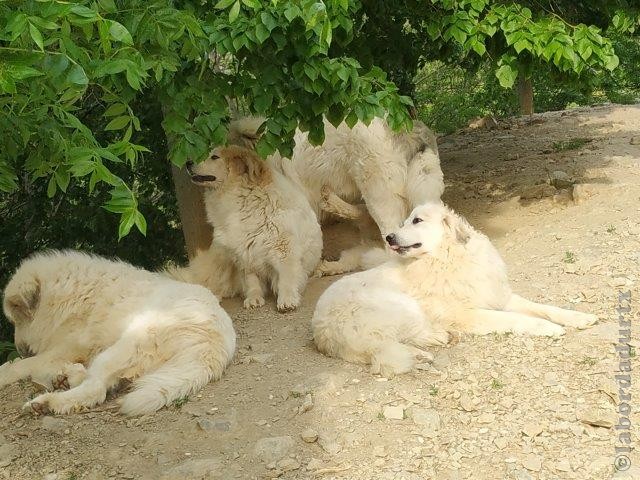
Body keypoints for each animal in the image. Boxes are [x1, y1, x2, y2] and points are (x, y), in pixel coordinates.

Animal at [0, 251, 235, 416]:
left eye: (16, 320)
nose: (21, 349)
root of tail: (215, 343)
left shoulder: (64, 349)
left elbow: (19, 367)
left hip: (123, 347)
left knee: (95, 389)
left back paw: (46, 402)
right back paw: (66, 377)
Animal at [184, 144, 324, 314]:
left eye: (215, 157)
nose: (188, 162)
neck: (243, 200)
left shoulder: (284, 251)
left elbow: (286, 278)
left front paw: (287, 300)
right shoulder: (244, 254)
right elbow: (251, 280)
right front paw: (254, 298)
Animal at [312, 201, 600, 376]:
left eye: (416, 221)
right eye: (405, 222)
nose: (389, 237)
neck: (446, 258)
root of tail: (322, 332)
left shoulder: (498, 295)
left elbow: (544, 308)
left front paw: (578, 317)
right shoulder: (467, 312)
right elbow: (515, 319)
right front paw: (548, 328)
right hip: (401, 307)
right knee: (389, 345)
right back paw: (432, 344)